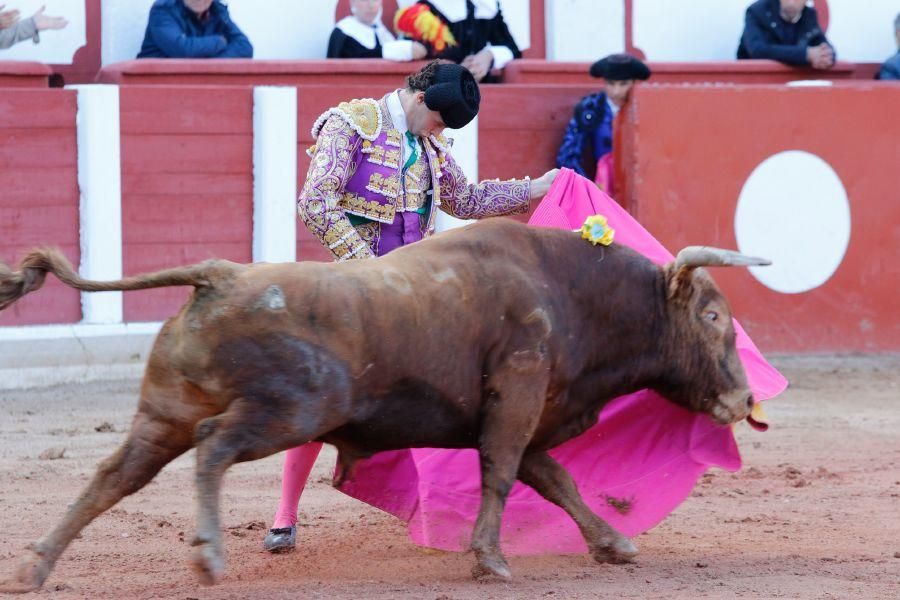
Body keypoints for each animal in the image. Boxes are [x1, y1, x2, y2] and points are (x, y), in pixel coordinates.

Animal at [0, 217, 768, 592]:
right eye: (712, 317)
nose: (743, 398)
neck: (571, 291)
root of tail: (219, 276)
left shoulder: (527, 412)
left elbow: (555, 480)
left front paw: (613, 545)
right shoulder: (516, 394)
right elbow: (503, 472)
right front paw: (489, 560)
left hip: (163, 415)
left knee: (114, 476)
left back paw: (36, 567)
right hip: (288, 410)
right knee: (215, 446)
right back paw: (209, 557)